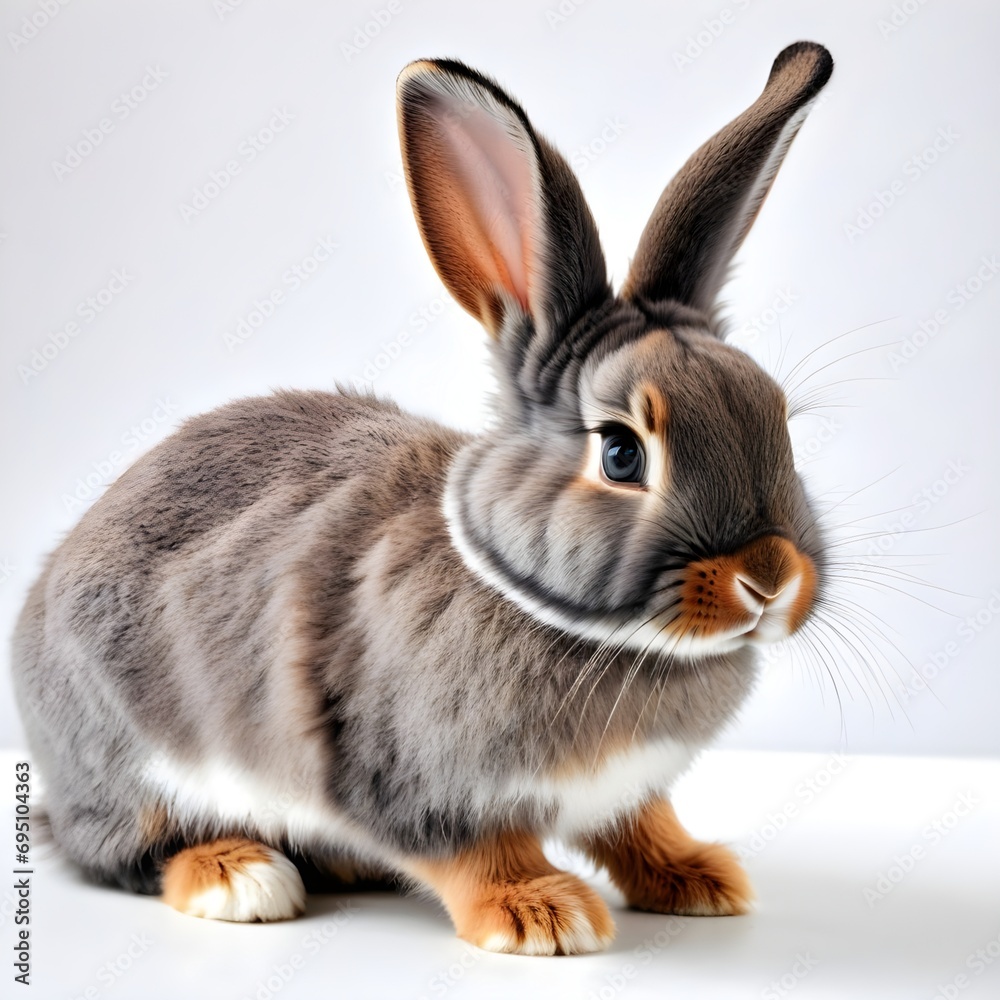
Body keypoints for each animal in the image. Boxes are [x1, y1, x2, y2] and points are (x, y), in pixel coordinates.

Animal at [12, 41, 833, 955]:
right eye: (622, 453)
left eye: (779, 420)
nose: (769, 580)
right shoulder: (412, 778)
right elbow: (475, 852)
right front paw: (540, 914)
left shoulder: (627, 791)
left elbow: (638, 825)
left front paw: (700, 878)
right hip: (128, 755)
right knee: (126, 850)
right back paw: (240, 874)